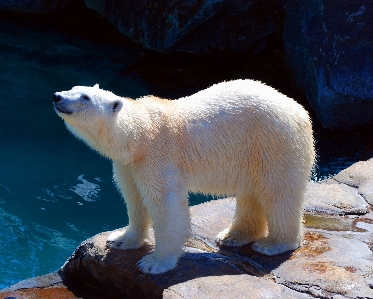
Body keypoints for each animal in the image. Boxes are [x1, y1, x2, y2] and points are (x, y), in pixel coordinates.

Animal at [52, 81, 314, 276]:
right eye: (73, 87)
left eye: (85, 97)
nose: (56, 96)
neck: (140, 134)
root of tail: (300, 111)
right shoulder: (129, 165)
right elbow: (134, 199)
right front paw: (120, 240)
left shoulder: (158, 157)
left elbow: (166, 205)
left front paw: (154, 263)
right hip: (253, 153)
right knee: (251, 192)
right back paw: (233, 236)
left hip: (274, 142)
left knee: (278, 192)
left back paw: (273, 244)